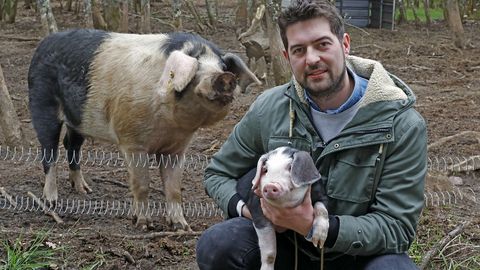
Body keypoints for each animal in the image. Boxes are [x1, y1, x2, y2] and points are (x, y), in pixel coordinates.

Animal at [28, 29, 260, 230]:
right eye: (196, 69)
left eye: (222, 66)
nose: (226, 77)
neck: (169, 123)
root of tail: (43, 43)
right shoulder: (132, 142)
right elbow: (142, 184)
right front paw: (143, 225)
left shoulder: (177, 148)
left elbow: (174, 189)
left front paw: (182, 227)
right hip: (42, 104)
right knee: (49, 152)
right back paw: (52, 201)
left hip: (78, 119)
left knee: (71, 145)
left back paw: (85, 190)